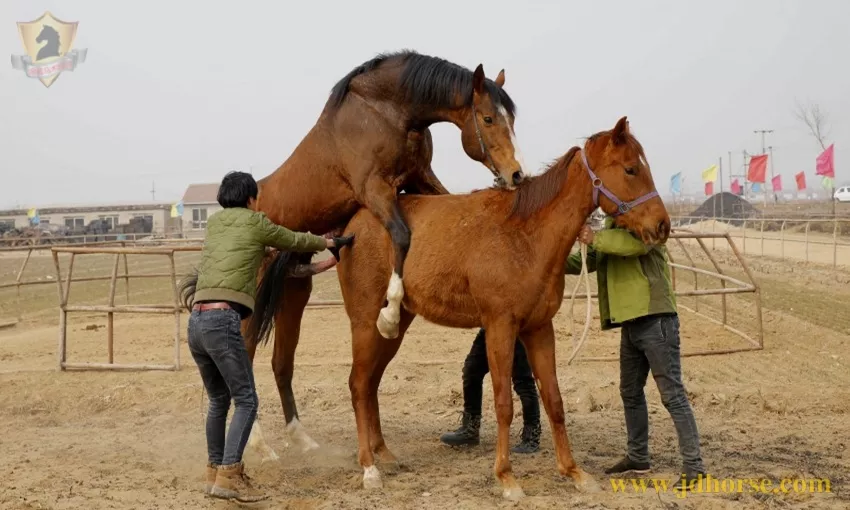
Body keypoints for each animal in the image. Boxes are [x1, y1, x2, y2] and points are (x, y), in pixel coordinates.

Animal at [240, 52, 524, 454]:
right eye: (487, 118)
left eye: (511, 120)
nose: (515, 175)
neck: (388, 112)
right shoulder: (374, 189)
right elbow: (402, 236)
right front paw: (389, 312)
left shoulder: (419, 177)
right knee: (246, 353)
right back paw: (259, 444)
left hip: (293, 293)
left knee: (282, 362)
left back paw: (302, 439)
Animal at [330, 116, 668, 498]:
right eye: (630, 169)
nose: (662, 225)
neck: (525, 235)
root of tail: (353, 226)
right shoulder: (500, 327)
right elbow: (504, 403)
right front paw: (506, 477)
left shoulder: (539, 329)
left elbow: (554, 400)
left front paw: (574, 472)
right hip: (364, 321)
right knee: (358, 385)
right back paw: (369, 467)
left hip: (394, 326)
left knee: (371, 384)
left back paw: (383, 454)